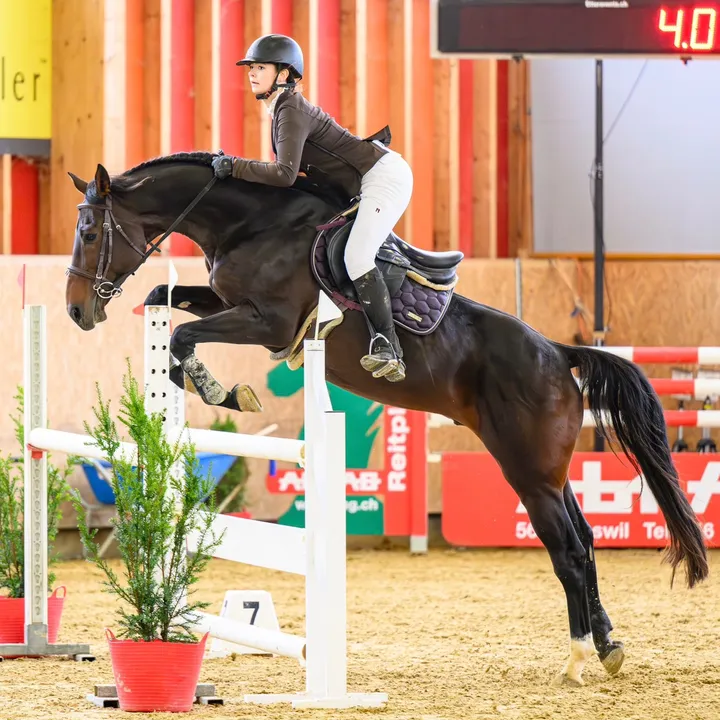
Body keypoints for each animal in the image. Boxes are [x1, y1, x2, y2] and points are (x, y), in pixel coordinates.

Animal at [65, 153, 708, 687]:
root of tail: (558, 351)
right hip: (548, 471)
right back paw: (607, 646)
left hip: (527, 472)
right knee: (588, 540)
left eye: (91, 232)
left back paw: (575, 660)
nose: (75, 311)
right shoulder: (228, 303)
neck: (250, 225)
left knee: (570, 552)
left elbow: (183, 334)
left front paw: (221, 390)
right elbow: (165, 301)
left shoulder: (268, 322)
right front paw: (190, 379)